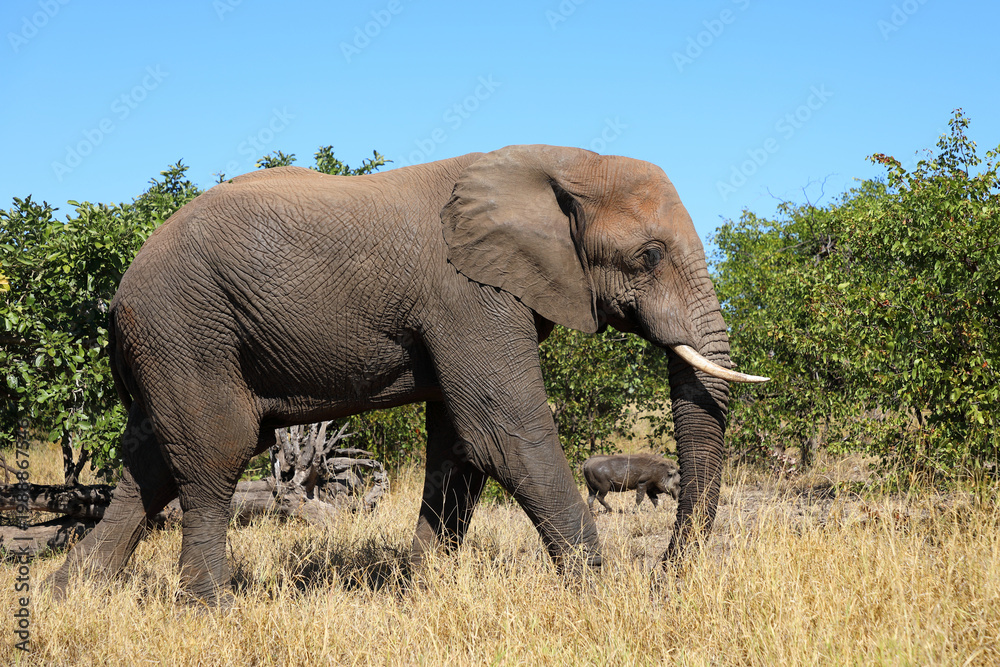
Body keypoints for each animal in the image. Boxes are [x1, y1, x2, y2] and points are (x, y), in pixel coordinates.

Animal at [48, 144, 767, 606]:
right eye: (648, 257)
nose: (663, 580)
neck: (555, 163)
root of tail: (119, 292)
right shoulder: (469, 294)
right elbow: (503, 434)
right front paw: (598, 595)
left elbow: (460, 444)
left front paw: (420, 591)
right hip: (187, 325)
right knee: (213, 455)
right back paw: (211, 612)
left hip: (172, 339)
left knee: (149, 463)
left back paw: (69, 597)